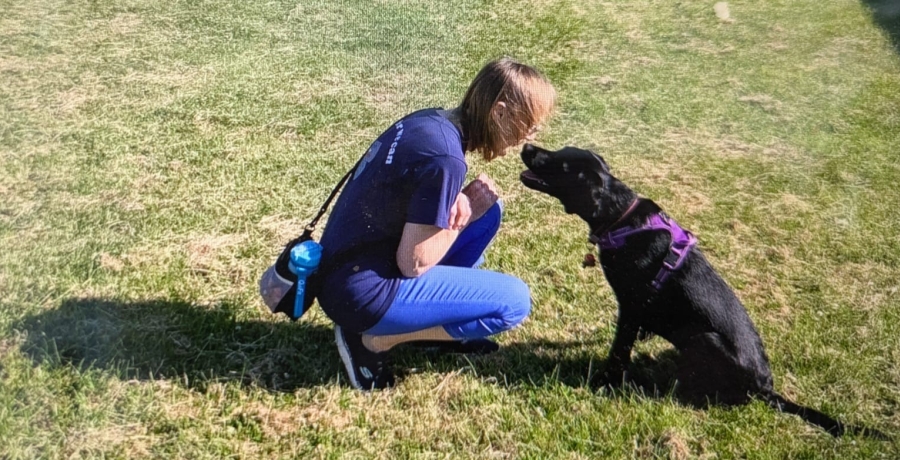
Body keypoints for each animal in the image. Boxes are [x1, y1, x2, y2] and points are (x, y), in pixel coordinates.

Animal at [520, 144, 884, 438]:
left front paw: (602, 382)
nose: (527, 146)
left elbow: (618, 351)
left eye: (560, 162)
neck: (622, 218)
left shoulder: (631, 306)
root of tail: (768, 391)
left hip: (703, 339)